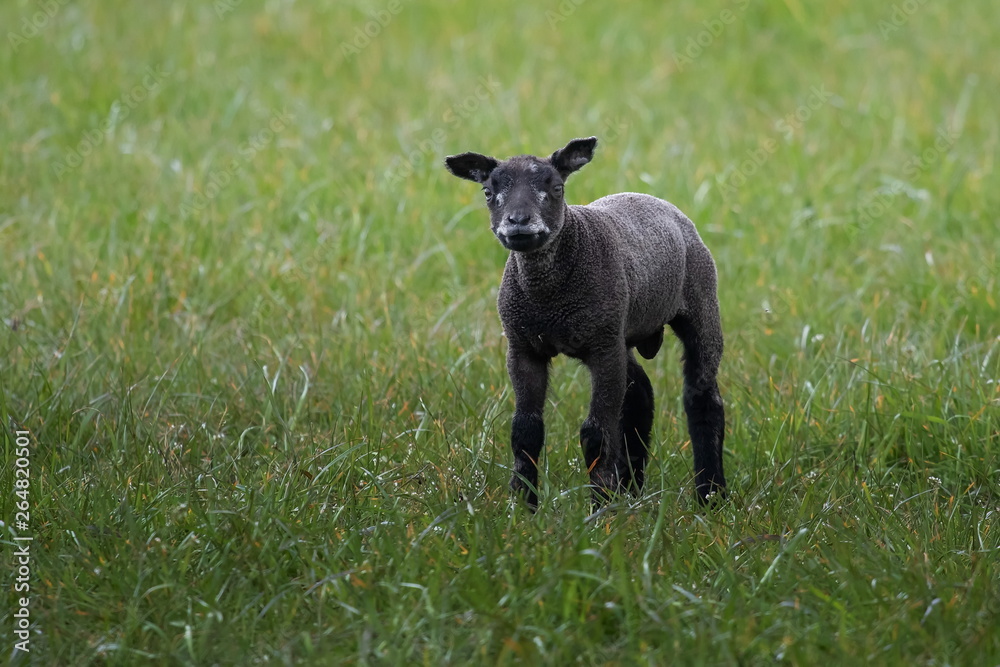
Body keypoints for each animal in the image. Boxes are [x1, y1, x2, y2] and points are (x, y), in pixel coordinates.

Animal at [444, 136, 727, 508]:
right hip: (621, 333)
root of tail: (659, 202)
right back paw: (632, 489)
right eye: (489, 192)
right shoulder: (522, 348)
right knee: (639, 396)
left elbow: (596, 433)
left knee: (702, 398)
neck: (548, 297)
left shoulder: (602, 347)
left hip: (698, 303)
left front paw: (600, 508)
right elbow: (525, 430)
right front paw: (522, 506)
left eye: (556, 188)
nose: (518, 222)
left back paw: (710, 494)